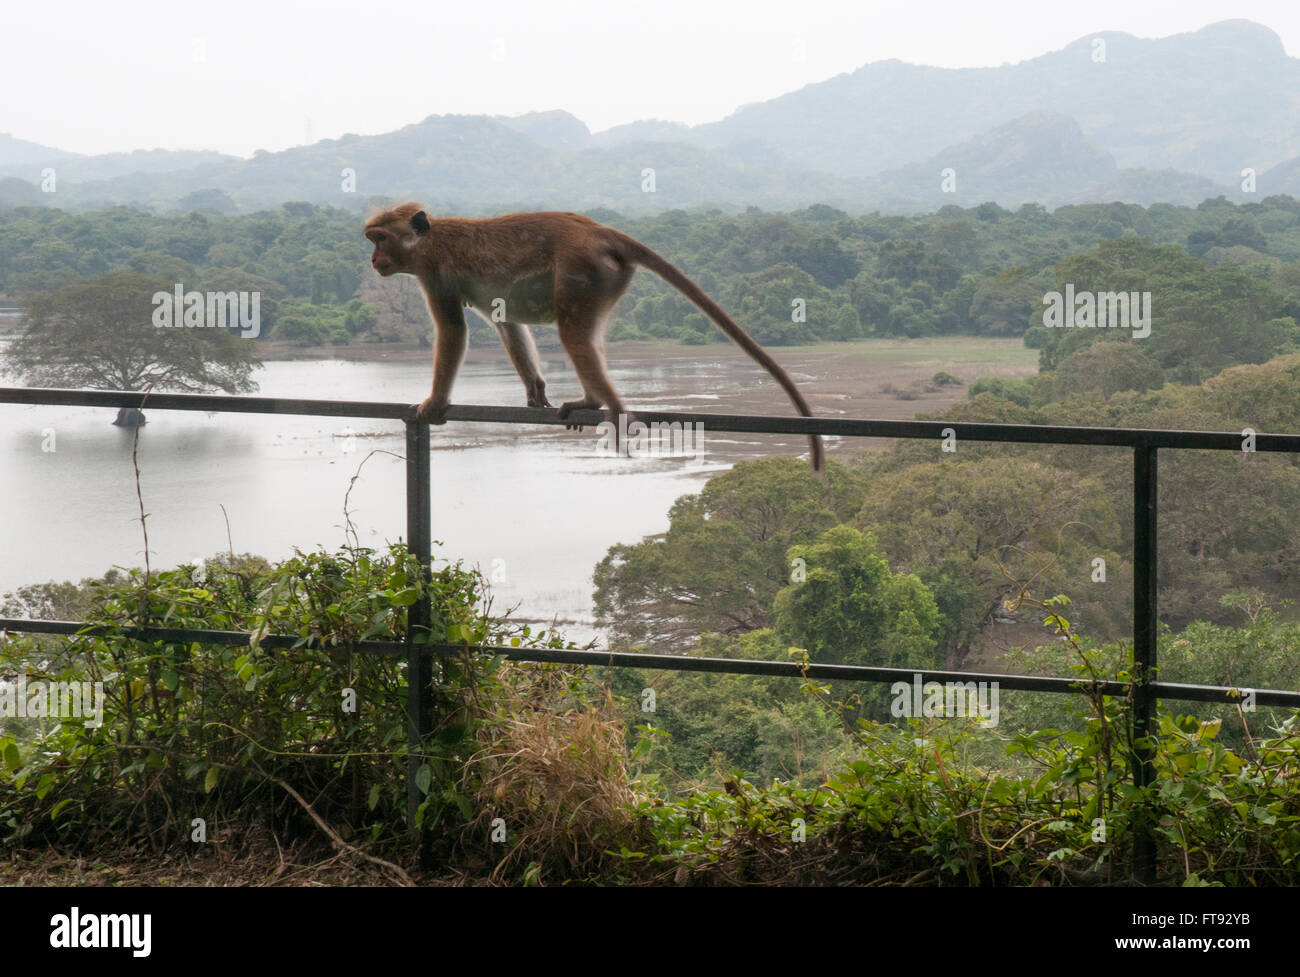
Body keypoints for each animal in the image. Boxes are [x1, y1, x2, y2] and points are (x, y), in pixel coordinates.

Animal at [361, 203, 821, 470]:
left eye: (380, 238)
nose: (372, 259)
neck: (427, 241)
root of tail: (598, 231)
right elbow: (505, 322)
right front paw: (535, 388)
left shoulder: (434, 272)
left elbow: (453, 330)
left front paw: (435, 402)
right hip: (604, 279)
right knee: (586, 335)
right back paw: (592, 399)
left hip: (583, 268)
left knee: (573, 334)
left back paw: (607, 405)